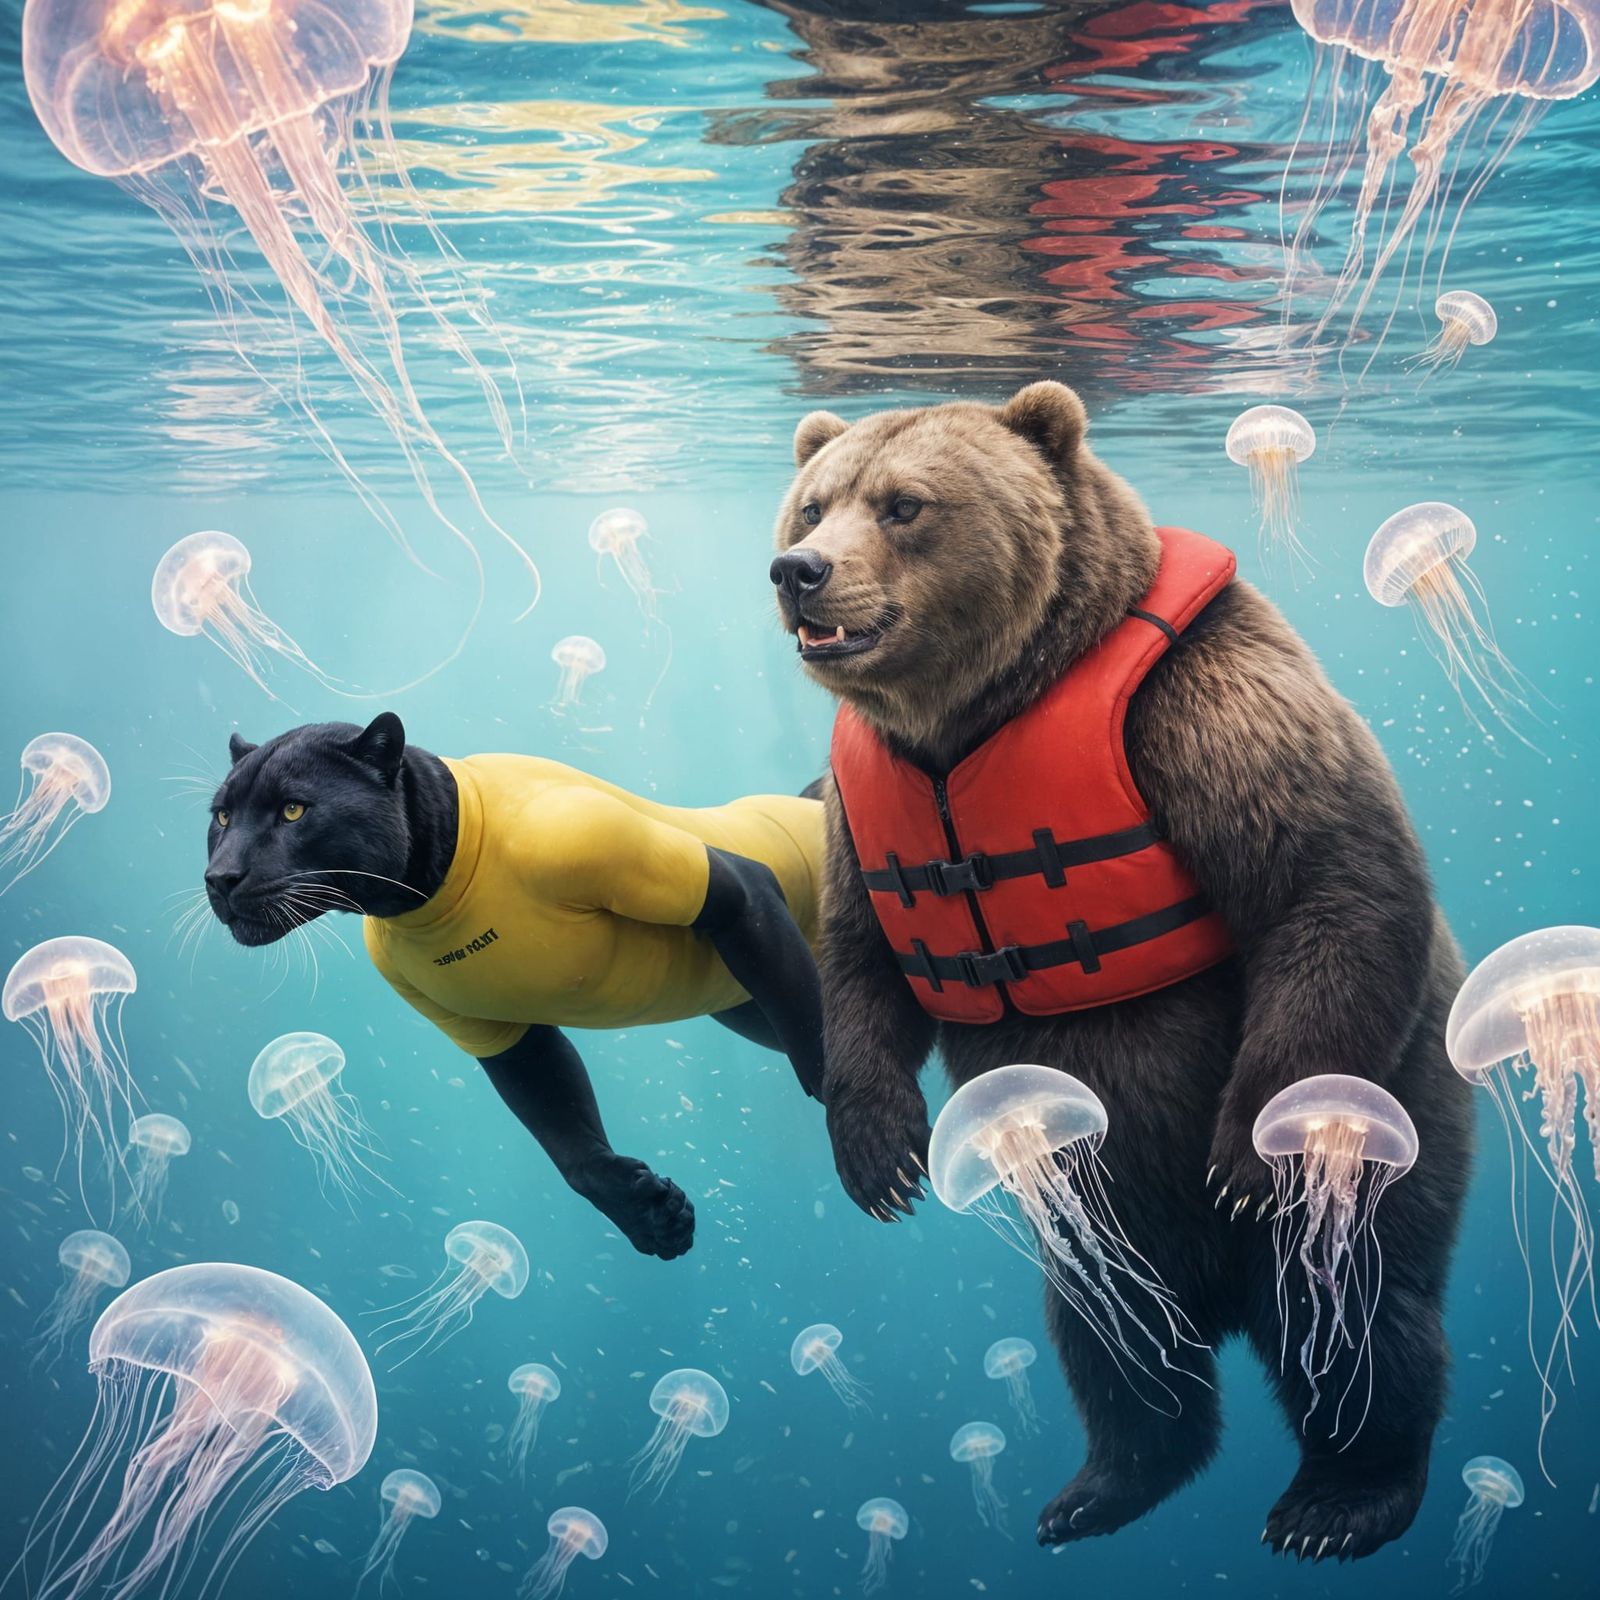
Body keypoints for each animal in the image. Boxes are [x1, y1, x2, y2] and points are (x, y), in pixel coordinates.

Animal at [768, 380, 1473, 1561]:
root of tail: (1219, 1300)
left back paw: (1340, 1498)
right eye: (811, 504)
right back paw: (1102, 1486)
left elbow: (1325, 880)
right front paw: (881, 1158)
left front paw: (1243, 1159)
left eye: (905, 504)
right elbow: (861, 963)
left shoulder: (1202, 702)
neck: (971, 719)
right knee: (1115, 1339)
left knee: (1357, 1307)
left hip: (1397, 1109)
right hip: (1086, 1211)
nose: (800, 570)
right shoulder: (857, 815)